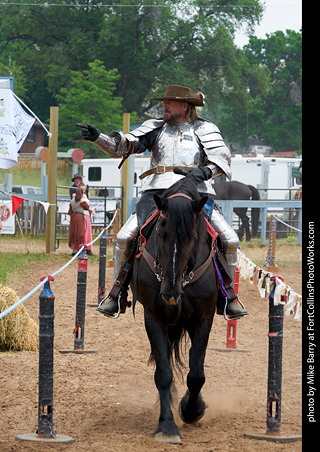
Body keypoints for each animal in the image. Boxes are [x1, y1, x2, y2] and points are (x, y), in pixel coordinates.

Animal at [130, 177, 218, 444]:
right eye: (161, 232)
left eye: (192, 236)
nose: (169, 290)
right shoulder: (154, 318)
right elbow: (163, 374)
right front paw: (167, 425)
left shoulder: (203, 320)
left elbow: (196, 375)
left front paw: (192, 410)